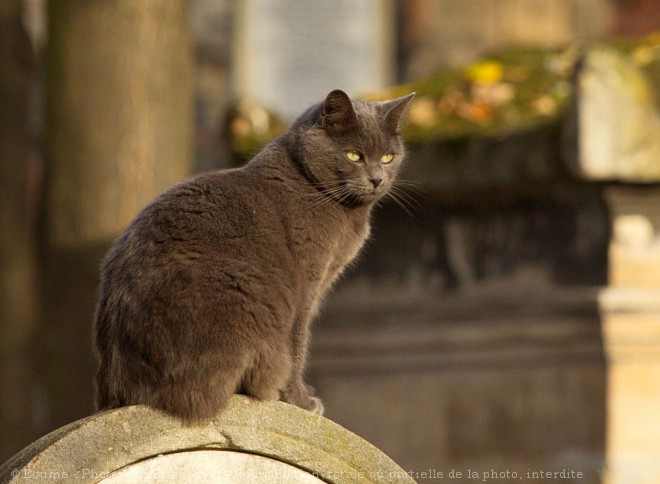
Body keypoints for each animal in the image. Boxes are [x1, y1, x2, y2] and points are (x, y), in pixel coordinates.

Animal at [94, 89, 412, 422]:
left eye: (388, 157)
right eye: (354, 155)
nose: (377, 179)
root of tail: (126, 388)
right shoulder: (305, 287)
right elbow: (297, 344)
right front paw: (301, 402)